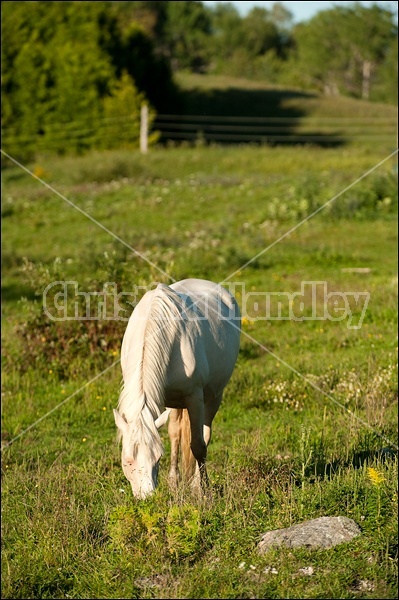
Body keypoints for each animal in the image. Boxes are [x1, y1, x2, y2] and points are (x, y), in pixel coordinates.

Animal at [114, 278, 242, 500]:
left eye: (157, 458)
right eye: (128, 460)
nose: (147, 498)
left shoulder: (194, 397)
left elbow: (198, 445)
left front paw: (202, 489)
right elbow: (174, 436)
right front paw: (174, 483)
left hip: (214, 396)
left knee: (205, 435)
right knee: (175, 433)